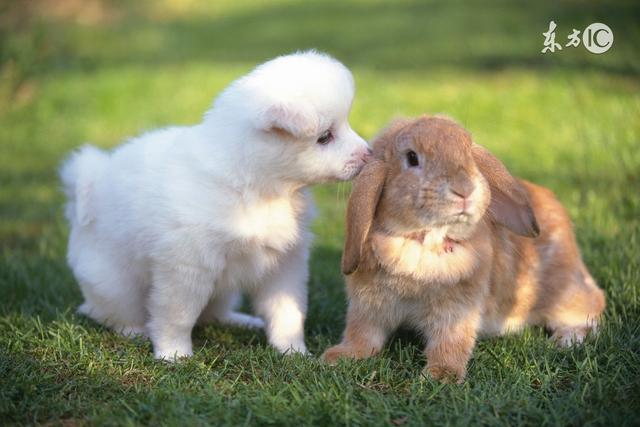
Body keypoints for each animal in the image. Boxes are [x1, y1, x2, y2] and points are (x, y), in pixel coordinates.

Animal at [61, 51, 370, 362]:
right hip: (115, 284)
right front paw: (174, 355)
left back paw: (242, 321)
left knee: (213, 313)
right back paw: (136, 332)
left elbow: (287, 312)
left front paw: (293, 352)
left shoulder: (284, 262)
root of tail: (91, 183)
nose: (368, 153)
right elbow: (177, 317)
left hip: (221, 292)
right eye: (325, 137)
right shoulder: (186, 267)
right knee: (111, 312)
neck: (257, 188)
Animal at [322, 116, 608, 384]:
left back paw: (565, 339)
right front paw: (338, 356)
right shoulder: (367, 306)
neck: (424, 242)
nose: (465, 190)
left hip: (562, 293)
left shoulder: (457, 310)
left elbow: (450, 343)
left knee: (592, 305)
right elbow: (362, 335)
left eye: (468, 153)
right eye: (412, 158)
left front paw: (440, 376)